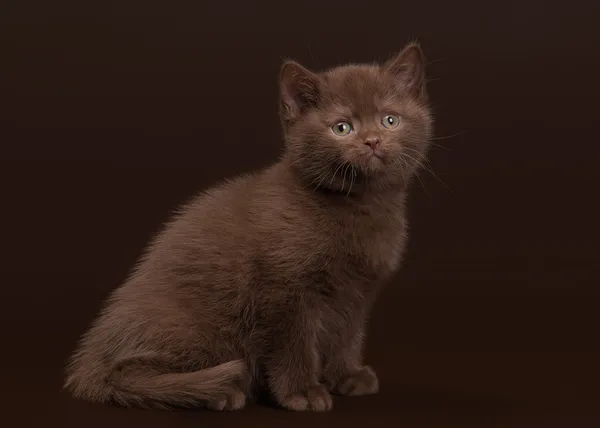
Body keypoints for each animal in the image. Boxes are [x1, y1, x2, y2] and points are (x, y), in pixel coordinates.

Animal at [64, 42, 432, 412]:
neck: (361, 207)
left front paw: (347, 377)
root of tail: (86, 363)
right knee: (124, 373)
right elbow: (293, 343)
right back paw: (218, 391)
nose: (372, 141)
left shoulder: (357, 293)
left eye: (390, 120)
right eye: (342, 128)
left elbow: (348, 335)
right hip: (193, 324)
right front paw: (302, 392)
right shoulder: (284, 291)